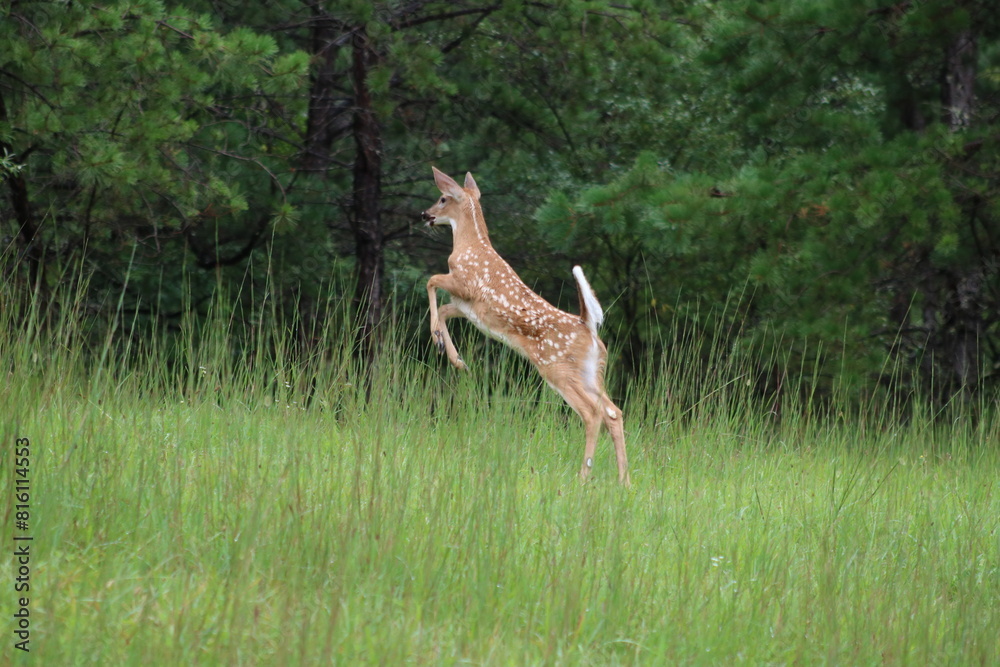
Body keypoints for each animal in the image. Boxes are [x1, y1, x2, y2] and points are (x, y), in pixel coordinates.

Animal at [422, 167, 630, 486]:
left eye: (442, 198)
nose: (425, 214)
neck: (470, 244)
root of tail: (588, 327)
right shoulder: (467, 306)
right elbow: (443, 309)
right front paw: (456, 358)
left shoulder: (465, 284)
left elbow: (431, 280)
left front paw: (438, 340)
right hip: (592, 371)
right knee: (613, 412)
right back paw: (624, 481)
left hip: (556, 368)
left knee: (592, 414)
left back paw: (584, 475)